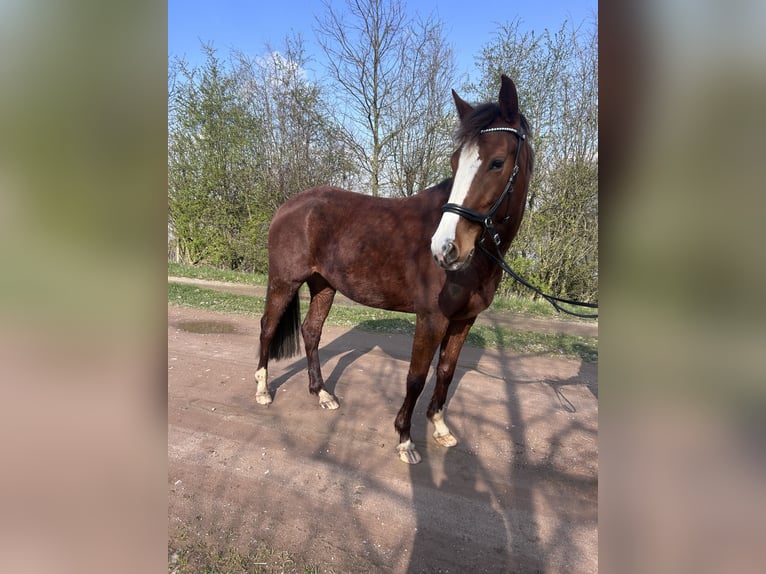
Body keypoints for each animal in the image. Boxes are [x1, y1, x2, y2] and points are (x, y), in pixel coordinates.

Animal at [254, 75, 534, 464]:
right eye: (454, 162)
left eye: (496, 162)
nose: (444, 248)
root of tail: (289, 206)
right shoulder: (431, 318)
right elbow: (415, 376)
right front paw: (405, 439)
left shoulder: (464, 320)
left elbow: (446, 372)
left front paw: (441, 428)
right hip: (284, 281)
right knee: (267, 327)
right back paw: (263, 391)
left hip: (323, 284)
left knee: (311, 332)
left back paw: (322, 393)